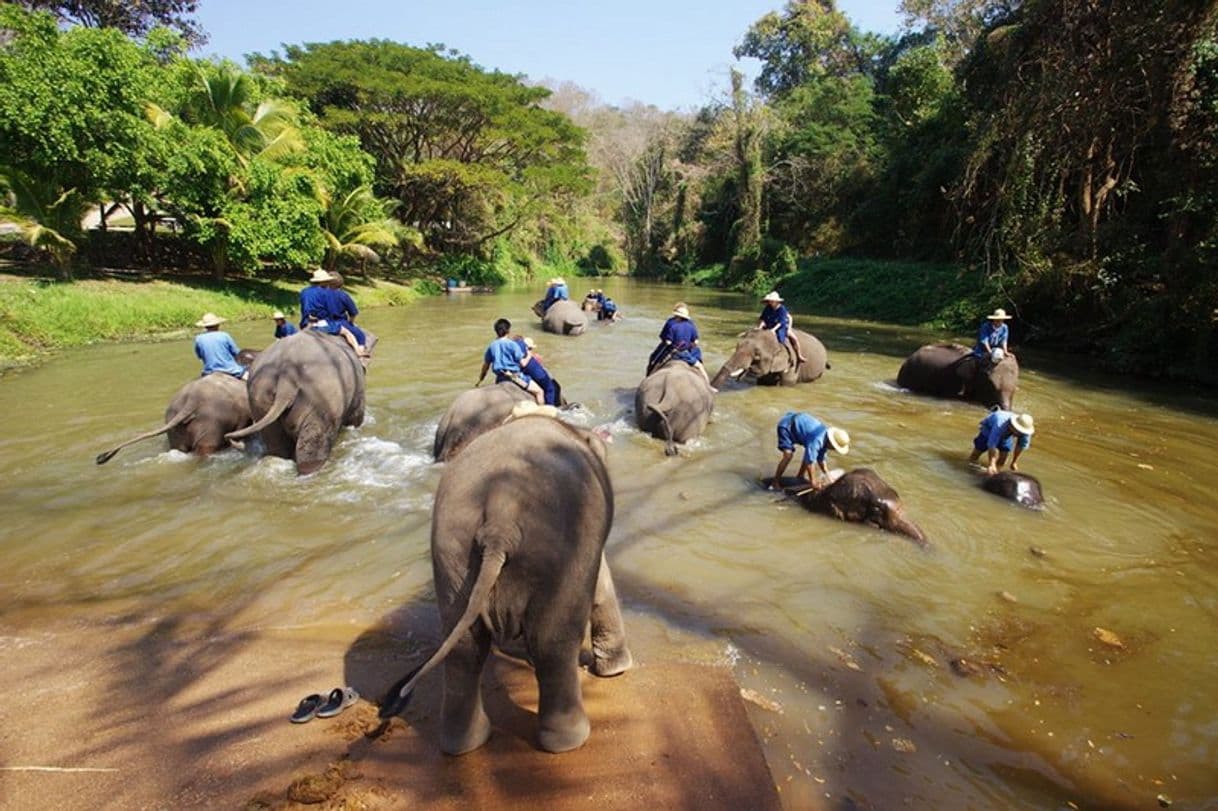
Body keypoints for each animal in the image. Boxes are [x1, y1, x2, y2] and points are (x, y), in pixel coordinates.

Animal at [224, 328, 375, 474]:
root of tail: (287, 376)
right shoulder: (358, 391)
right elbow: (356, 418)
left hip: (259, 399)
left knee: (277, 445)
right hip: (319, 402)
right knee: (312, 446)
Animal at [377, 406, 628, 754]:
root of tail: (501, 517)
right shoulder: (588, 540)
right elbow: (602, 583)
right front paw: (618, 670)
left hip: (452, 551)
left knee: (465, 647)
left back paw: (465, 743)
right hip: (561, 544)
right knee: (553, 642)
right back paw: (570, 741)